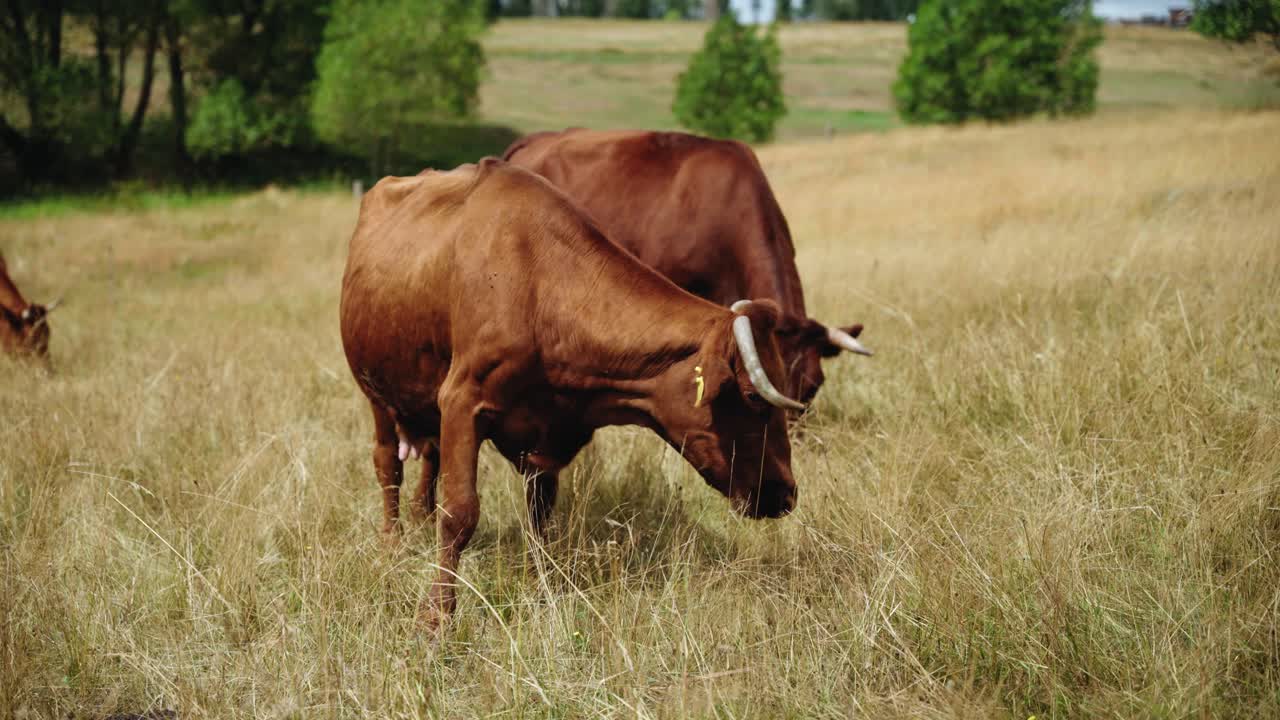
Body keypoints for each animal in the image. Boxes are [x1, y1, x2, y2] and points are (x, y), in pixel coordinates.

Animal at [340, 158, 806, 628]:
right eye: (753, 398)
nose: (786, 491)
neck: (538, 287)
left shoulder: (547, 436)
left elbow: (541, 516)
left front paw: (540, 588)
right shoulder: (461, 401)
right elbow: (460, 513)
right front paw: (436, 616)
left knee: (429, 459)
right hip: (376, 392)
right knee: (387, 465)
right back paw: (392, 542)